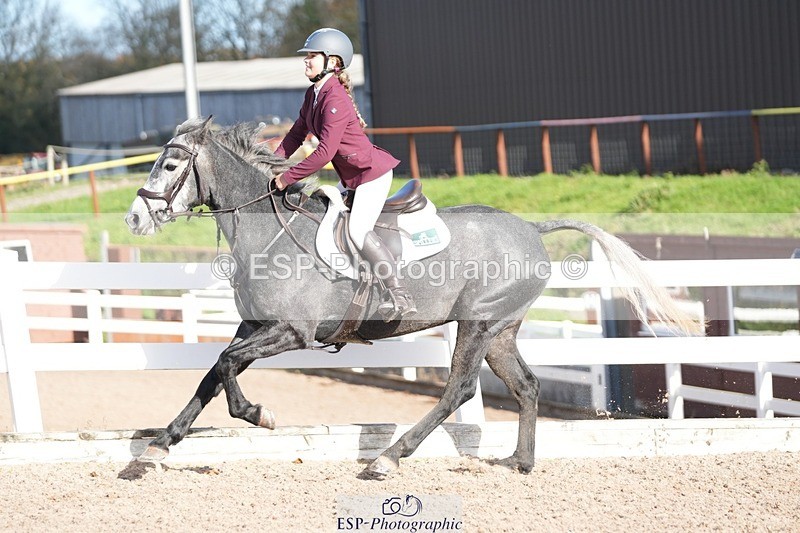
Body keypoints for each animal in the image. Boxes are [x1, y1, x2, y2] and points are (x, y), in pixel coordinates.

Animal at [125, 116, 694, 477]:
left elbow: (224, 367)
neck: (270, 232)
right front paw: (156, 448)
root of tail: (532, 228)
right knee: (527, 386)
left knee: (458, 391)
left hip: (476, 323)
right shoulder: (255, 327)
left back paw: (388, 459)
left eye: (171, 167)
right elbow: (212, 373)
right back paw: (520, 461)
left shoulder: (292, 332)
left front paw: (257, 413)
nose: (134, 218)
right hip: (500, 331)